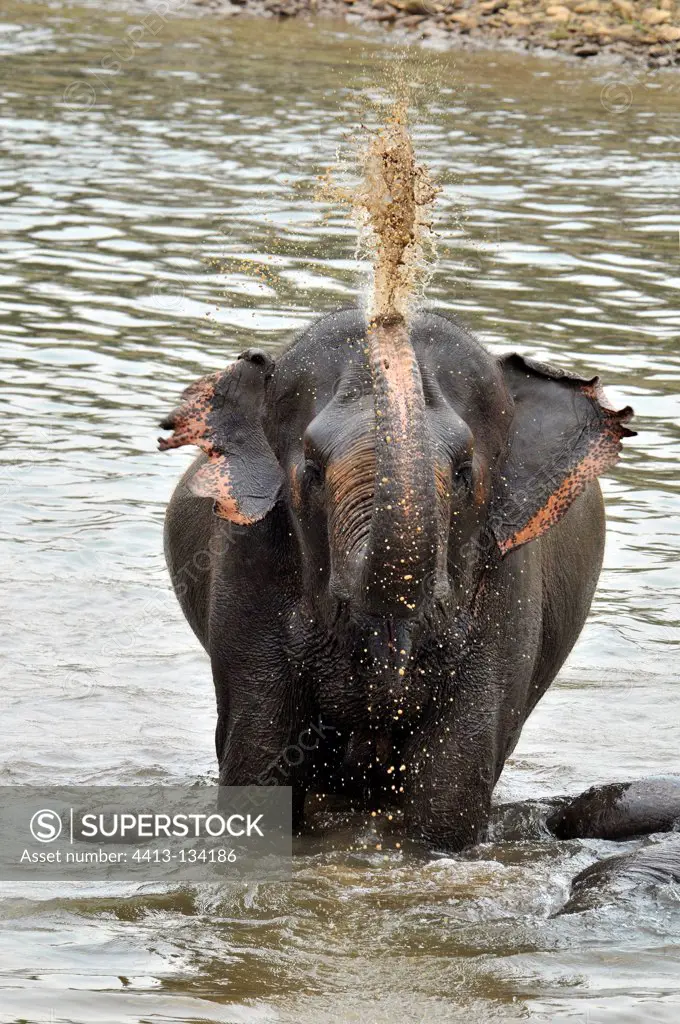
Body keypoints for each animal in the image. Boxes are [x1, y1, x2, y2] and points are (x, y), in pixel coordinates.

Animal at [161, 305, 647, 856]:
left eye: (463, 472)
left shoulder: (509, 584)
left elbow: (451, 784)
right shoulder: (247, 562)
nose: (388, 305)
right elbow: (258, 761)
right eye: (312, 470)